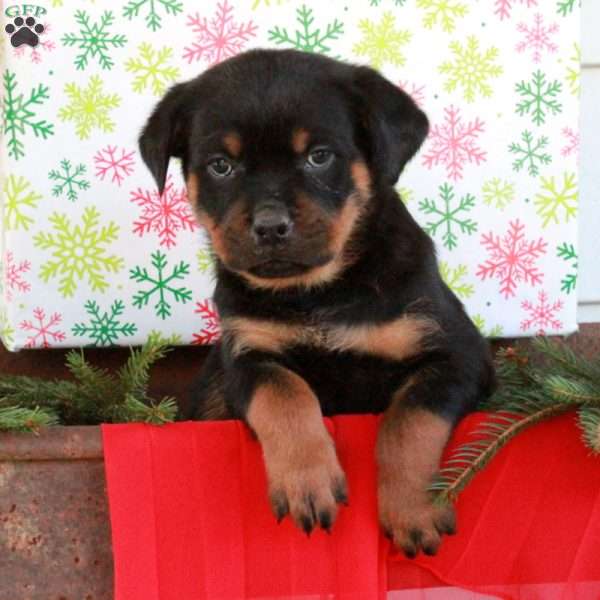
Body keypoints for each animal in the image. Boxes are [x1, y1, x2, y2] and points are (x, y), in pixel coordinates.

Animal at [141, 47, 496, 556]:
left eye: (319, 157)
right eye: (221, 165)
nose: (270, 227)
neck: (317, 293)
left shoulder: (459, 355)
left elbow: (409, 420)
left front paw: (414, 508)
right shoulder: (247, 356)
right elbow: (285, 394)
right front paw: (307, 484)